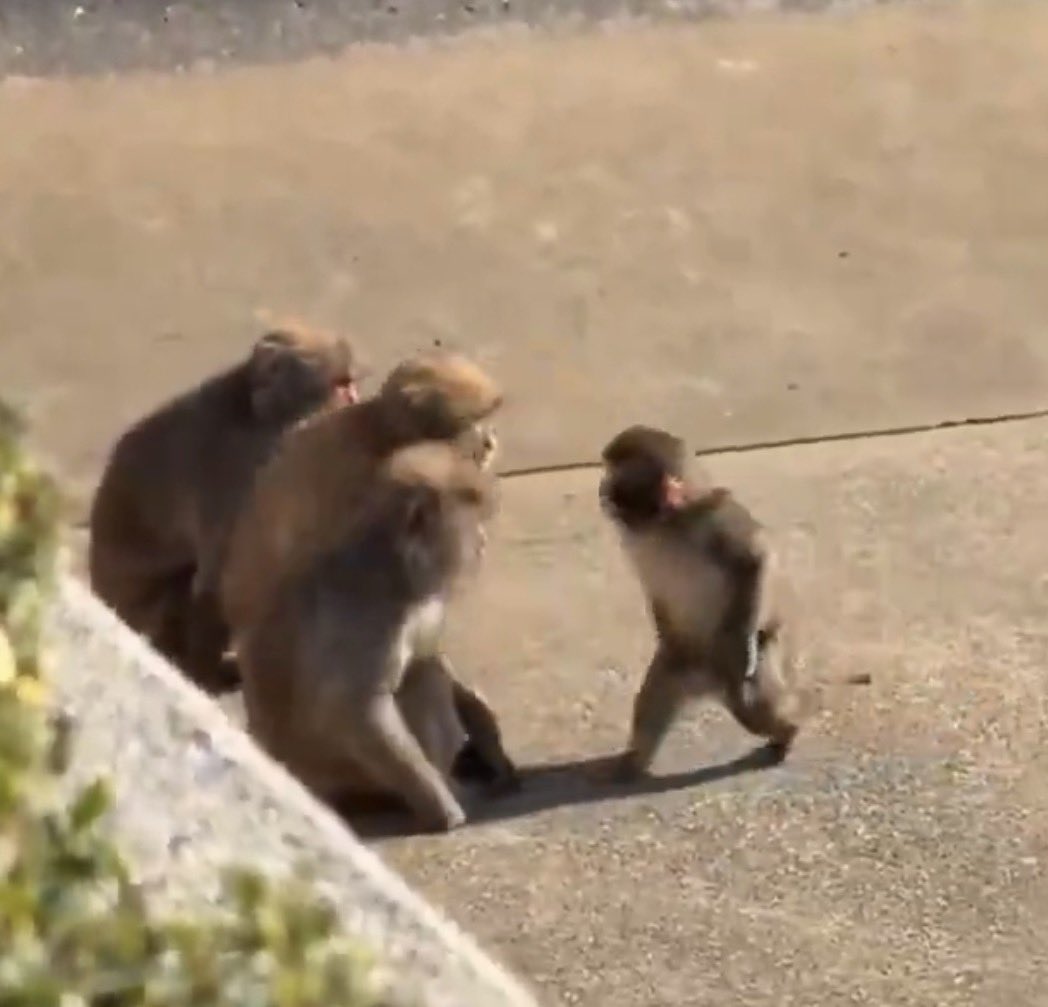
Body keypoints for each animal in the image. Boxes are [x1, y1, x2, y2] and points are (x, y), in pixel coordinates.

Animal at [87, 324, 360, 694]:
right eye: (340, 387)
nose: (354, 400)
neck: (259, 414)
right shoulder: (239, 472)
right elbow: (219, 580)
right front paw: (203, 677)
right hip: (140, 611)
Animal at [238, 440, 518, 832]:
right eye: (471, 519)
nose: (481, 542)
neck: (398, 561)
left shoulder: (425, 599)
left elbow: (429, 651)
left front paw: (485, 727)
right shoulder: (366, 610)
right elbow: (349, 706)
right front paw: (443, 808)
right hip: (356, 777)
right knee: (420, 682)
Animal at [598, 424, 870, 780]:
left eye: (616, 476)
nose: (602, 490)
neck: (668, 523)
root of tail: (707, 680)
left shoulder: (715, 519)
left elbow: (753, 559)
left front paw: (743, 647)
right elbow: (658, 601)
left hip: (762, 656)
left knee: (755, 706)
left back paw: (790, 728)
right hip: (685, 665)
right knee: (657, 695)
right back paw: (632, 763)